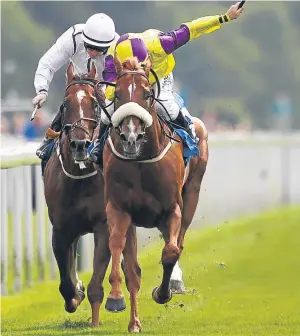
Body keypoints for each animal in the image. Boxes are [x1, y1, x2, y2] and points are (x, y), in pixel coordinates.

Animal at [43, 62, 110, 326]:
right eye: (65, 104)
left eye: (95, 103)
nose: (80, 145)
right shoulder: (61, 230)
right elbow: (66, 282)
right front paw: (76, 292)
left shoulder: (103, 225)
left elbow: (97, 280)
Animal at [101, 54, 209, 330]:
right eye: (117, 94)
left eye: (148, 94)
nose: (130, 136)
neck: (141, 160)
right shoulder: (119, 209)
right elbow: (118, 248)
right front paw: (115, 298)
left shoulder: (172, 209)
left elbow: (171, 252)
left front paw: (163, 293)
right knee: (133, 266)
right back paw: (134, 322)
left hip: (192, 194)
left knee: (179, 242)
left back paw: (173, 283)